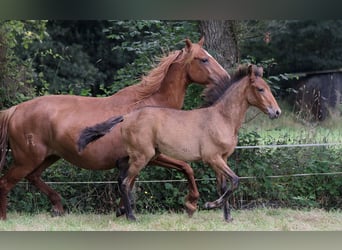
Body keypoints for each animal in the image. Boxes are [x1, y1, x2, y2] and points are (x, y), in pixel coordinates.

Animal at [0, 38, 231, 220]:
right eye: (203, 59)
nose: (227, 78)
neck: (150, 106)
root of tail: (14, 110)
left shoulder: (137, 159)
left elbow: (130, 182)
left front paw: (122, 210)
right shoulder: (152, 156)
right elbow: (185, 168)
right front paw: (191, 203)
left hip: (48, 157)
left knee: (33, 177)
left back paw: (57, 206)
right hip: (27, 160)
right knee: (5, 183)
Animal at [78, 64, 280, 221]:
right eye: (260, 89)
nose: (276, 112)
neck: (221, 118)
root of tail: (127, 116)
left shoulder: (222, 159)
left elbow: (224, 186)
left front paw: (227, 217)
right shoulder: (213, 158)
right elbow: (236, 180)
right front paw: (209, 205)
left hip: (136, 156)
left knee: (122, 179)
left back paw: (124, 213)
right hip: (143, 156)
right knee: (126, 183)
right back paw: (132, 217)